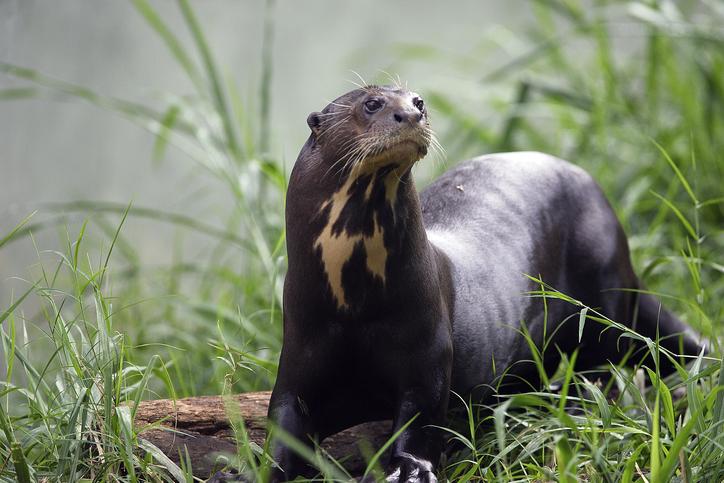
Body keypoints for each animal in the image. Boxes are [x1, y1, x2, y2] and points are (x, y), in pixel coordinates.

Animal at [267, 85, 703, 482]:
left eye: (418, 99)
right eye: (372, 104)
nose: (412, 113)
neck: (353, 305)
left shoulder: (427, 350)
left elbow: (422, 418)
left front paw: (408, 471)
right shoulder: (300, 347)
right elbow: (282, 421)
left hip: (601, 276)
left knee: (605, 361)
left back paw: (576, 404)